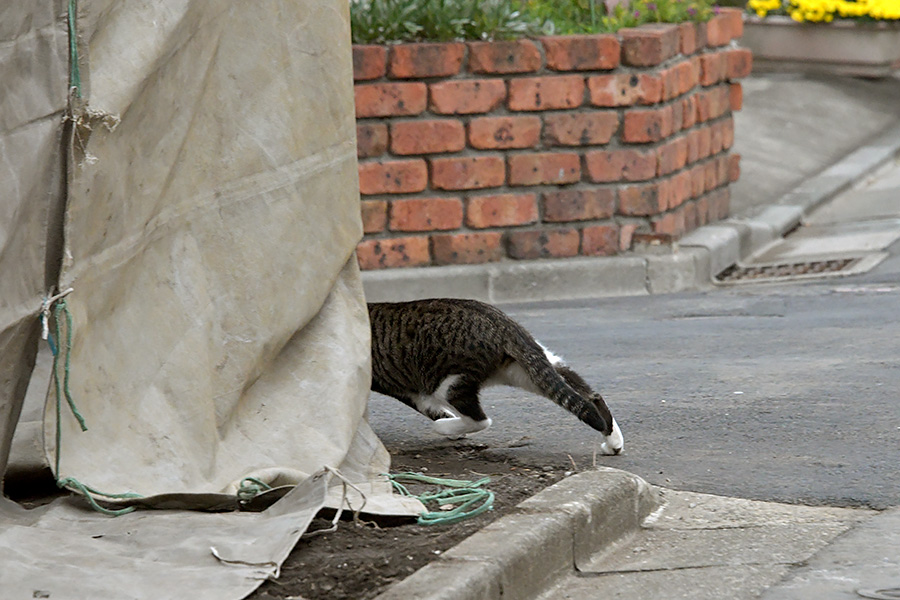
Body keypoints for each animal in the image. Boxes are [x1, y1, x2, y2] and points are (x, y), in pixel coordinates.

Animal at [370, 298, 624, 458]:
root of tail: (503, 325)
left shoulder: (397, 387)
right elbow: (430, 408)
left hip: (447, 381)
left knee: (481, 420)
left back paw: (445, 427)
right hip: (529, 369)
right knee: (590, 396)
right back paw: (614, 443)